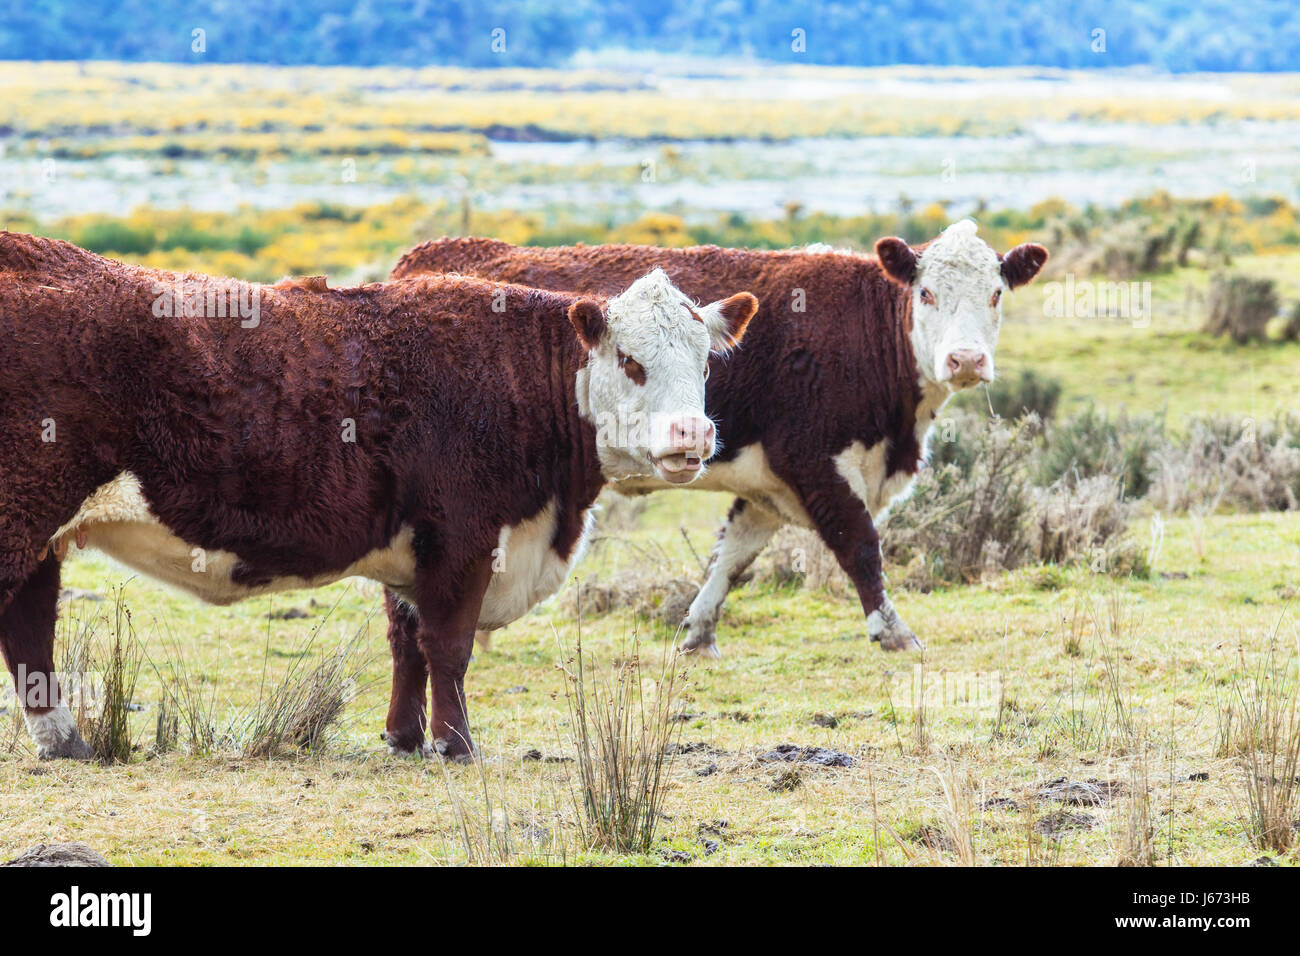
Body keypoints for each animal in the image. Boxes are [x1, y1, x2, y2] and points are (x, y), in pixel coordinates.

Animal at [0, 231, 757, 760]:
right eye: (630, 361)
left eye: (705, 362)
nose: (692, 433)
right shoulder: (462, 538)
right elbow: (448, 645)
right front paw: (456, 744)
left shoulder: (415, 547)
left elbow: (407, 643)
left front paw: (404, 736)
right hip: (21, 522)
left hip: (40, 539)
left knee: (29, 631)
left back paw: (67, 742)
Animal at [391, 221, 1048, 662]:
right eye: (927, 293)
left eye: (996, 294)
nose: (966, 359)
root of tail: (428, 255)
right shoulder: (816, 463)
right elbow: (861, 547)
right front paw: (893, 632)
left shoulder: (770, 487)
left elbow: (732, 556)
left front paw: (698, 632)